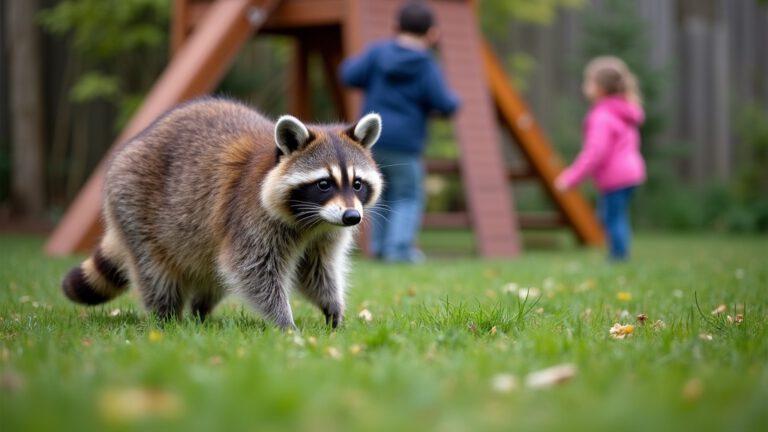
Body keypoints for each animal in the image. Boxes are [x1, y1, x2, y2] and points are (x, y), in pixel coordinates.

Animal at [61, 98, 383, 330]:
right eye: (324, 184)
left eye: (357, 184)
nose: (352, 218)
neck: (312, 220)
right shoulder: (250, 218)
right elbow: (253, 270)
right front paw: (285, 323)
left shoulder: (324, 233)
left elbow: (317, 271)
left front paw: (332, 308)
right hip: (132, 203)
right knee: (156, 273)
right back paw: (165, 319)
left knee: (212, 276)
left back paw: (201, 314)